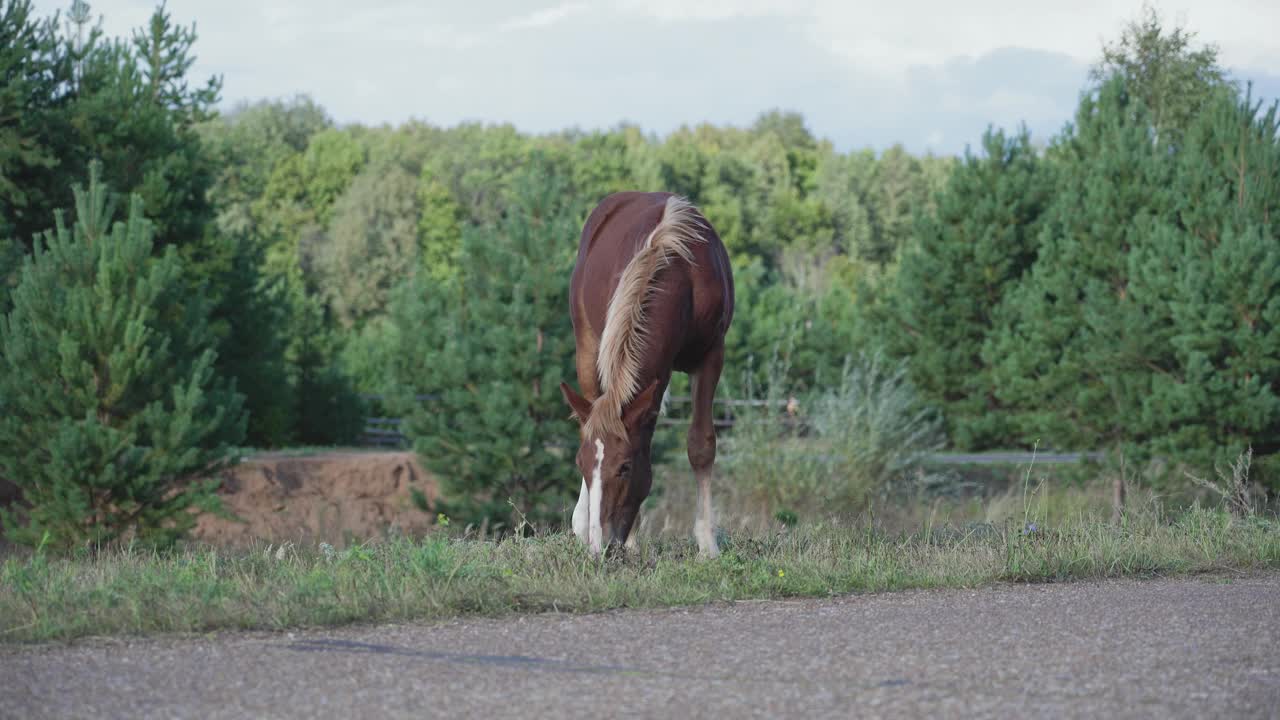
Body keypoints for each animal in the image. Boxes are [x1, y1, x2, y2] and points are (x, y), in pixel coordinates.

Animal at [558, 192, 732, 556]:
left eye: (625, 467)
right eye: (580, 464)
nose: (601, 545)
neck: (681, 274)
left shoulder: (711, 355)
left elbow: (701, 444)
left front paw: (707, 543)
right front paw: (630, 538)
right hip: (587, 345)